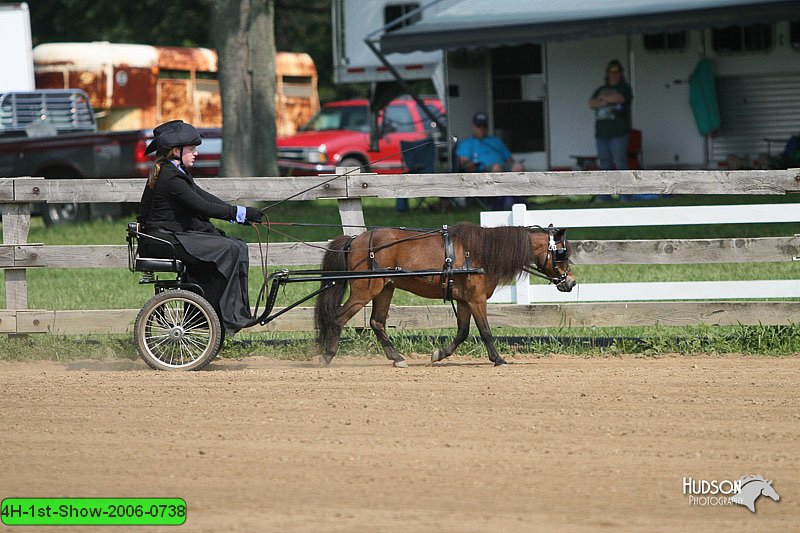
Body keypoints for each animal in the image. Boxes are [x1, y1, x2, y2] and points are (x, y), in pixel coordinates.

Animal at [312, 223, 576, 366]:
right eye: (560, 253)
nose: (571, 282)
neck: (479, 253)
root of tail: (355, 239)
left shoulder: (464, 301)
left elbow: (463, 332)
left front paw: (439, 354)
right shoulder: (476, 299)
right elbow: (485, 331)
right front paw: (498, 359)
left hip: (385, 288)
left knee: (377, 322)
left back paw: (396, 357)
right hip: (364, 290)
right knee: (338, 318)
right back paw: (328, 356)